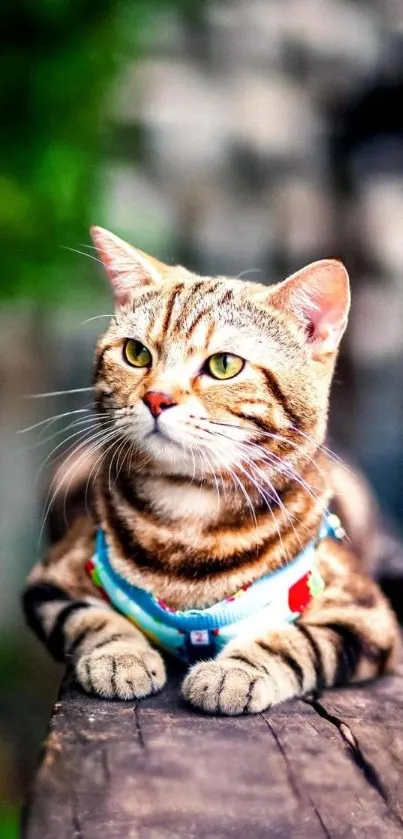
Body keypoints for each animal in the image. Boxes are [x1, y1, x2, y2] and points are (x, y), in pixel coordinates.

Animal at [22, 226, 400, 712]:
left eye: (224, 365)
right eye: (136, 353)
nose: (157, 397)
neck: (189, 515)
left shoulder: (366, 612)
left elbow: (298, 640)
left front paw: (235, 672)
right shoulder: (52, 579)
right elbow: (90, 618)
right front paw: (121, 656)